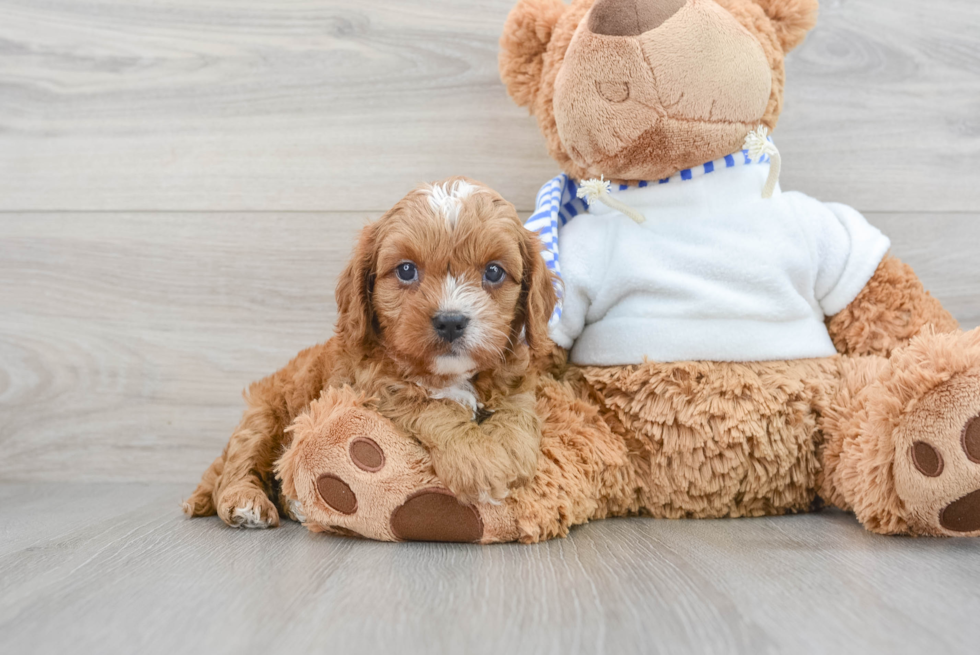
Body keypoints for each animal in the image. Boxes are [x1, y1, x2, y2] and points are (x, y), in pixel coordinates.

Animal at [184, 178, 560, 528]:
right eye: (406, 270)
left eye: (494, 271)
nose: (451, 321)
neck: (448, 374)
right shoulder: (375, 387)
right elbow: (431, 406)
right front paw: (479, 459)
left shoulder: (511, 373)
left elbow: (517, 406)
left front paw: (513, 450)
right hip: (263, 415)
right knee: (239, 465)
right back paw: (246, 501)